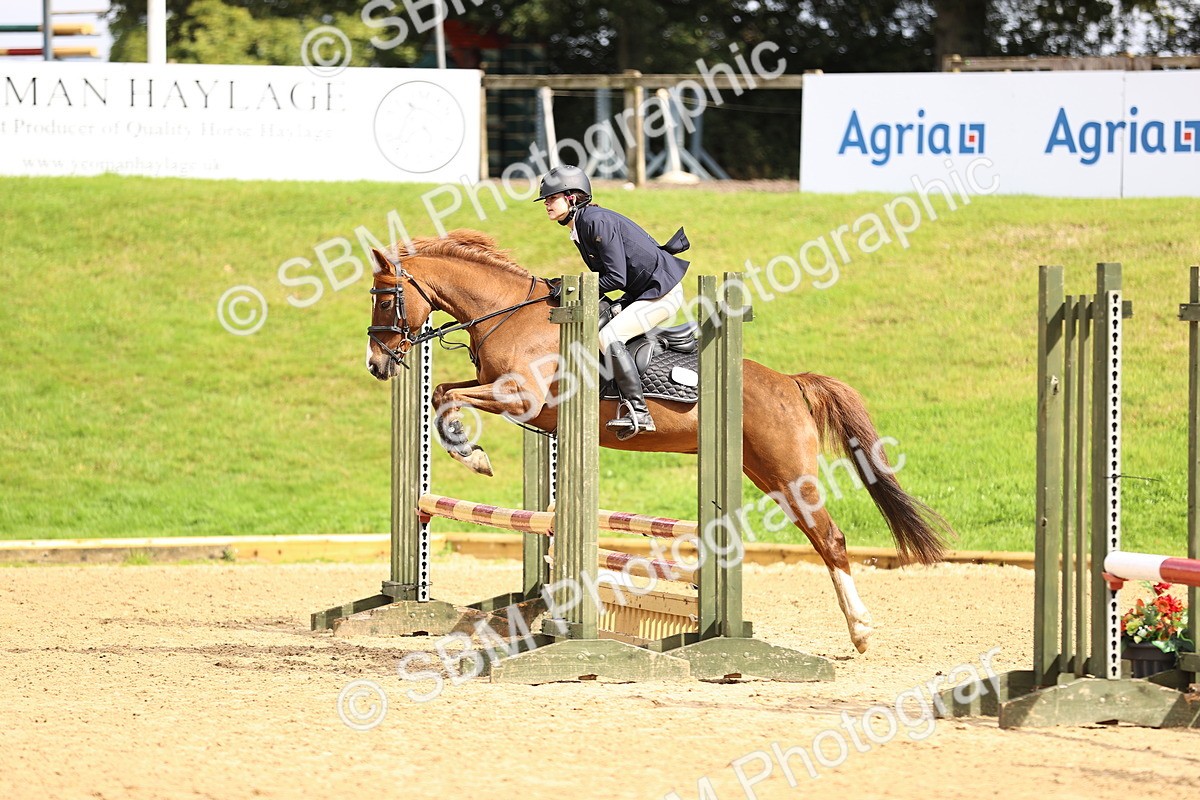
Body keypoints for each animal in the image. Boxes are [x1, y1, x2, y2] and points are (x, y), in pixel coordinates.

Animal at [365, 229, 954, 653]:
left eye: (386, 299)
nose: (377, 364)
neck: (514, 317)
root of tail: (791, 382)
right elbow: (443, 391)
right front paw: (472, 451)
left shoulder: (522, 397)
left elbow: (444, 397)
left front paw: (473, 455)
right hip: (762, 472)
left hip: (790, 474)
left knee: (830, 539)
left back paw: (861, 631)